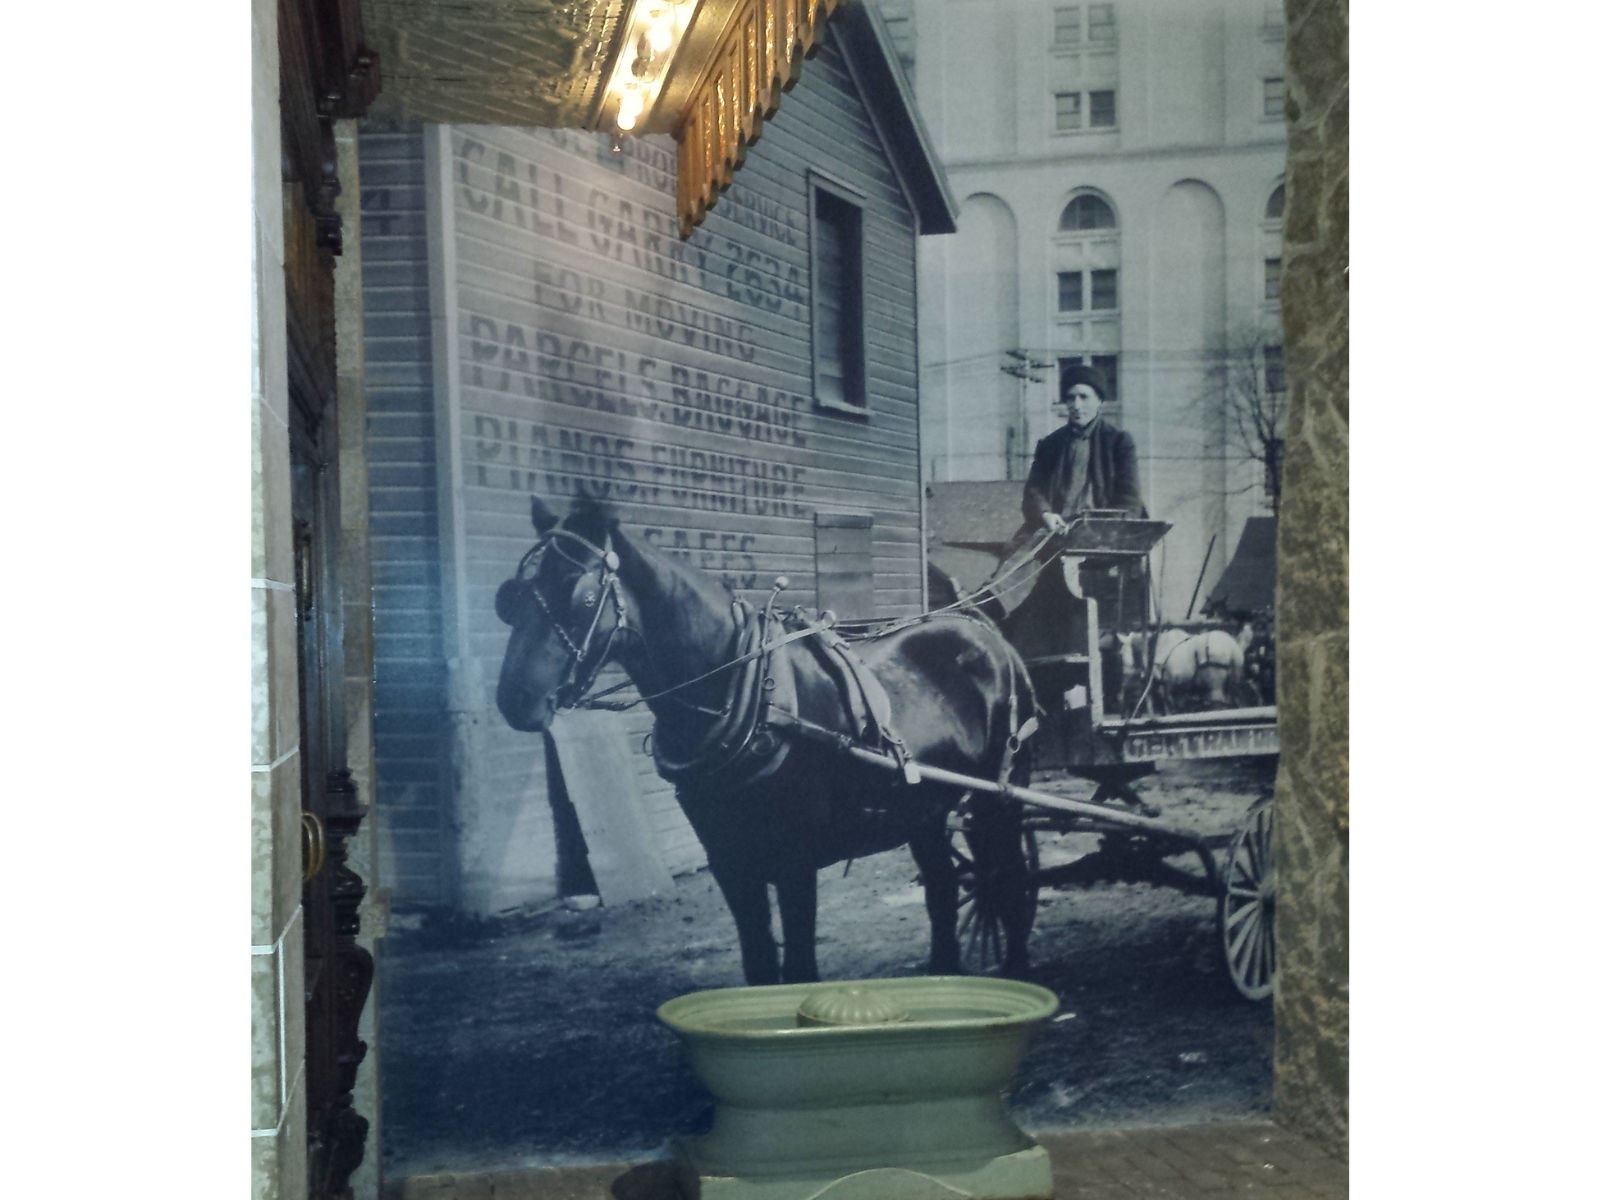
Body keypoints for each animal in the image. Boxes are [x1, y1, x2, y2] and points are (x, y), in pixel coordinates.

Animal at [492, 499, 1036, 985]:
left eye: (580, 597)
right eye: (512, 598)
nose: (513, 699)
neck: (747, 698)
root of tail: (989, 635)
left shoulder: (794, 862)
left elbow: (798, 970)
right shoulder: (731, 863)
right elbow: (758, 965)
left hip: (998, 801)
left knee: (1008, 881)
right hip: (924, 812)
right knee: (943, 890)